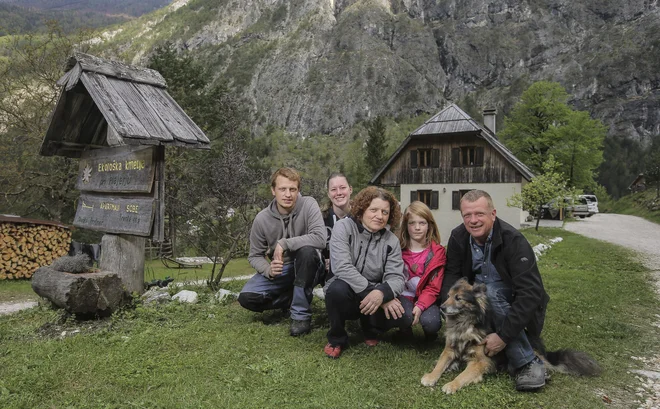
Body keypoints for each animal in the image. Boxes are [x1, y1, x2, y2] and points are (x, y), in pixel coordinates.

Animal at [420, 278, 600, 392]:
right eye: (448, 296)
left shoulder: (480, 361)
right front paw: (431, 376)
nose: (442, 308)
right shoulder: (449, 349)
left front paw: (451, 385)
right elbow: (440, 364)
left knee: (542, 364)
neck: (464, 324)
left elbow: (463, 375)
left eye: (458, 298)